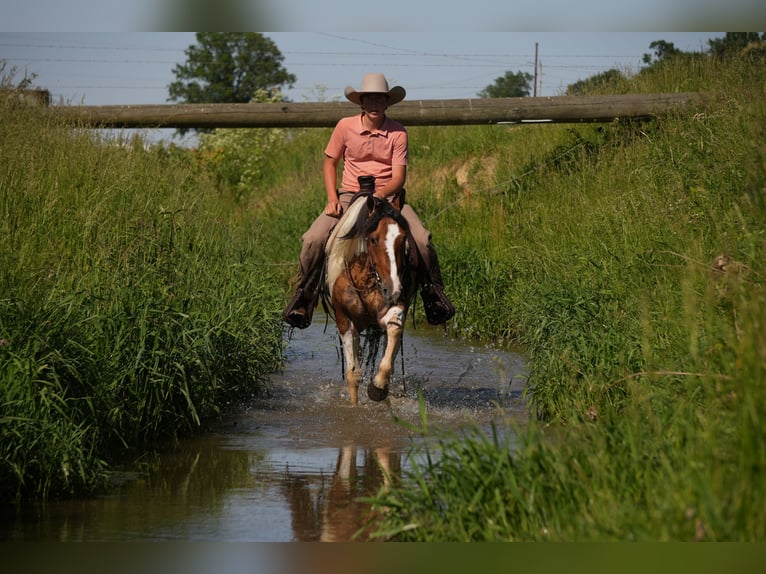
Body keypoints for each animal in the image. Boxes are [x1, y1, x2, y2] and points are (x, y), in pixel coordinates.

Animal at [323, 192, 417, 405]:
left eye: (403, 239)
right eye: (373, 240)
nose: (393, 289)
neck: (366, 278)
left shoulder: (394, 309)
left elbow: (393, 332)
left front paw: (378, 387)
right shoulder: (344, 319)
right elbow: (353, 374)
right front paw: (355, 407)